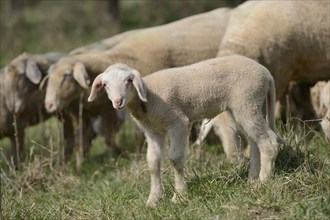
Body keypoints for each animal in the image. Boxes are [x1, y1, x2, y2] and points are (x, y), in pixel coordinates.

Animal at [87, 54, 284, 206]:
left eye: (128, 81)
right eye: (105, 85)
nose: (118, 101)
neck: (148, 98)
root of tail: (266, 73)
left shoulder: (177, 122)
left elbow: (175, 159)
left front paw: (179, 196)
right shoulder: (153, 132)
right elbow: (152, 163)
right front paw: (153, 200)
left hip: (248, 101)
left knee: (268, 142)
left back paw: (263, 182)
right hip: (247, 106)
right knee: (255, 142)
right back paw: (252, 179)